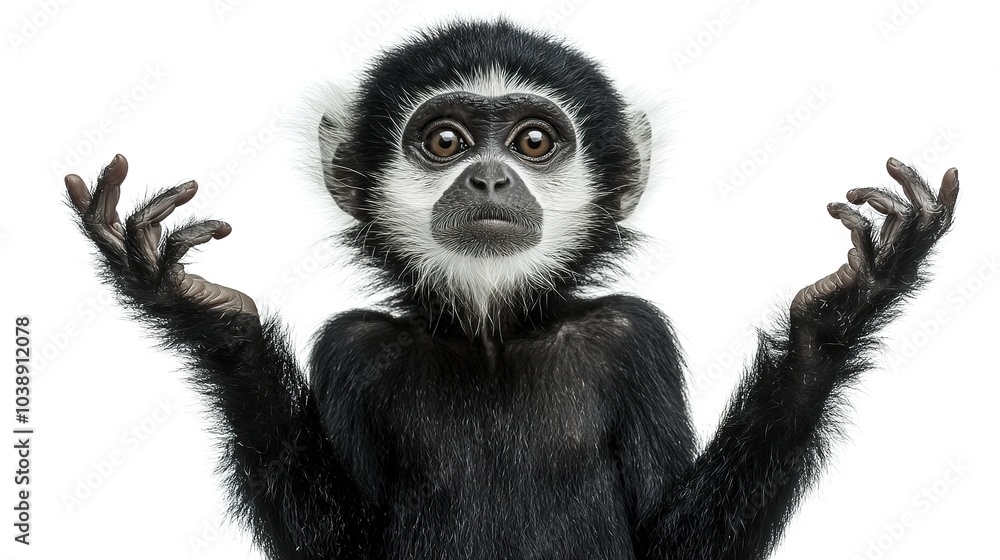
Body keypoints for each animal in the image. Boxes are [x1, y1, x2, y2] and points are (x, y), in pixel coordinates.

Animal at [65, 19, 959, 560]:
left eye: (532, 141)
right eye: (444, 140)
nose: (490, 176)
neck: (493, 336)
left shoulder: (633, 335)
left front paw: (845, 308)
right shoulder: (352, 346)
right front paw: (202, 315)